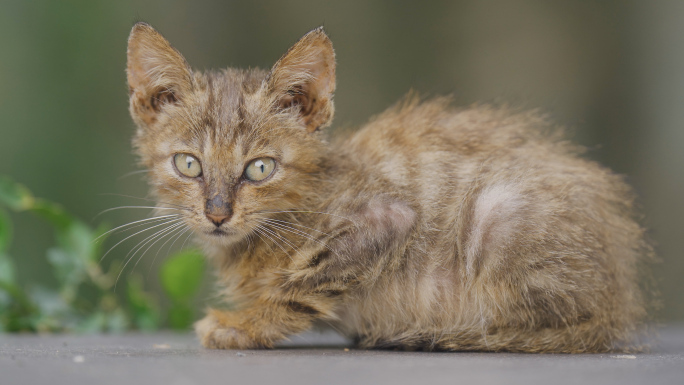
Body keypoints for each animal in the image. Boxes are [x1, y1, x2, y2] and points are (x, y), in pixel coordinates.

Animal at [124, 21, 652, 352]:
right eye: (188, 164)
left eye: (259, 169)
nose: (217, 212)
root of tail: (617, 301)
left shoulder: (387, 219)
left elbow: (302, 286)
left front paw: (241, 326)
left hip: (499, 210)